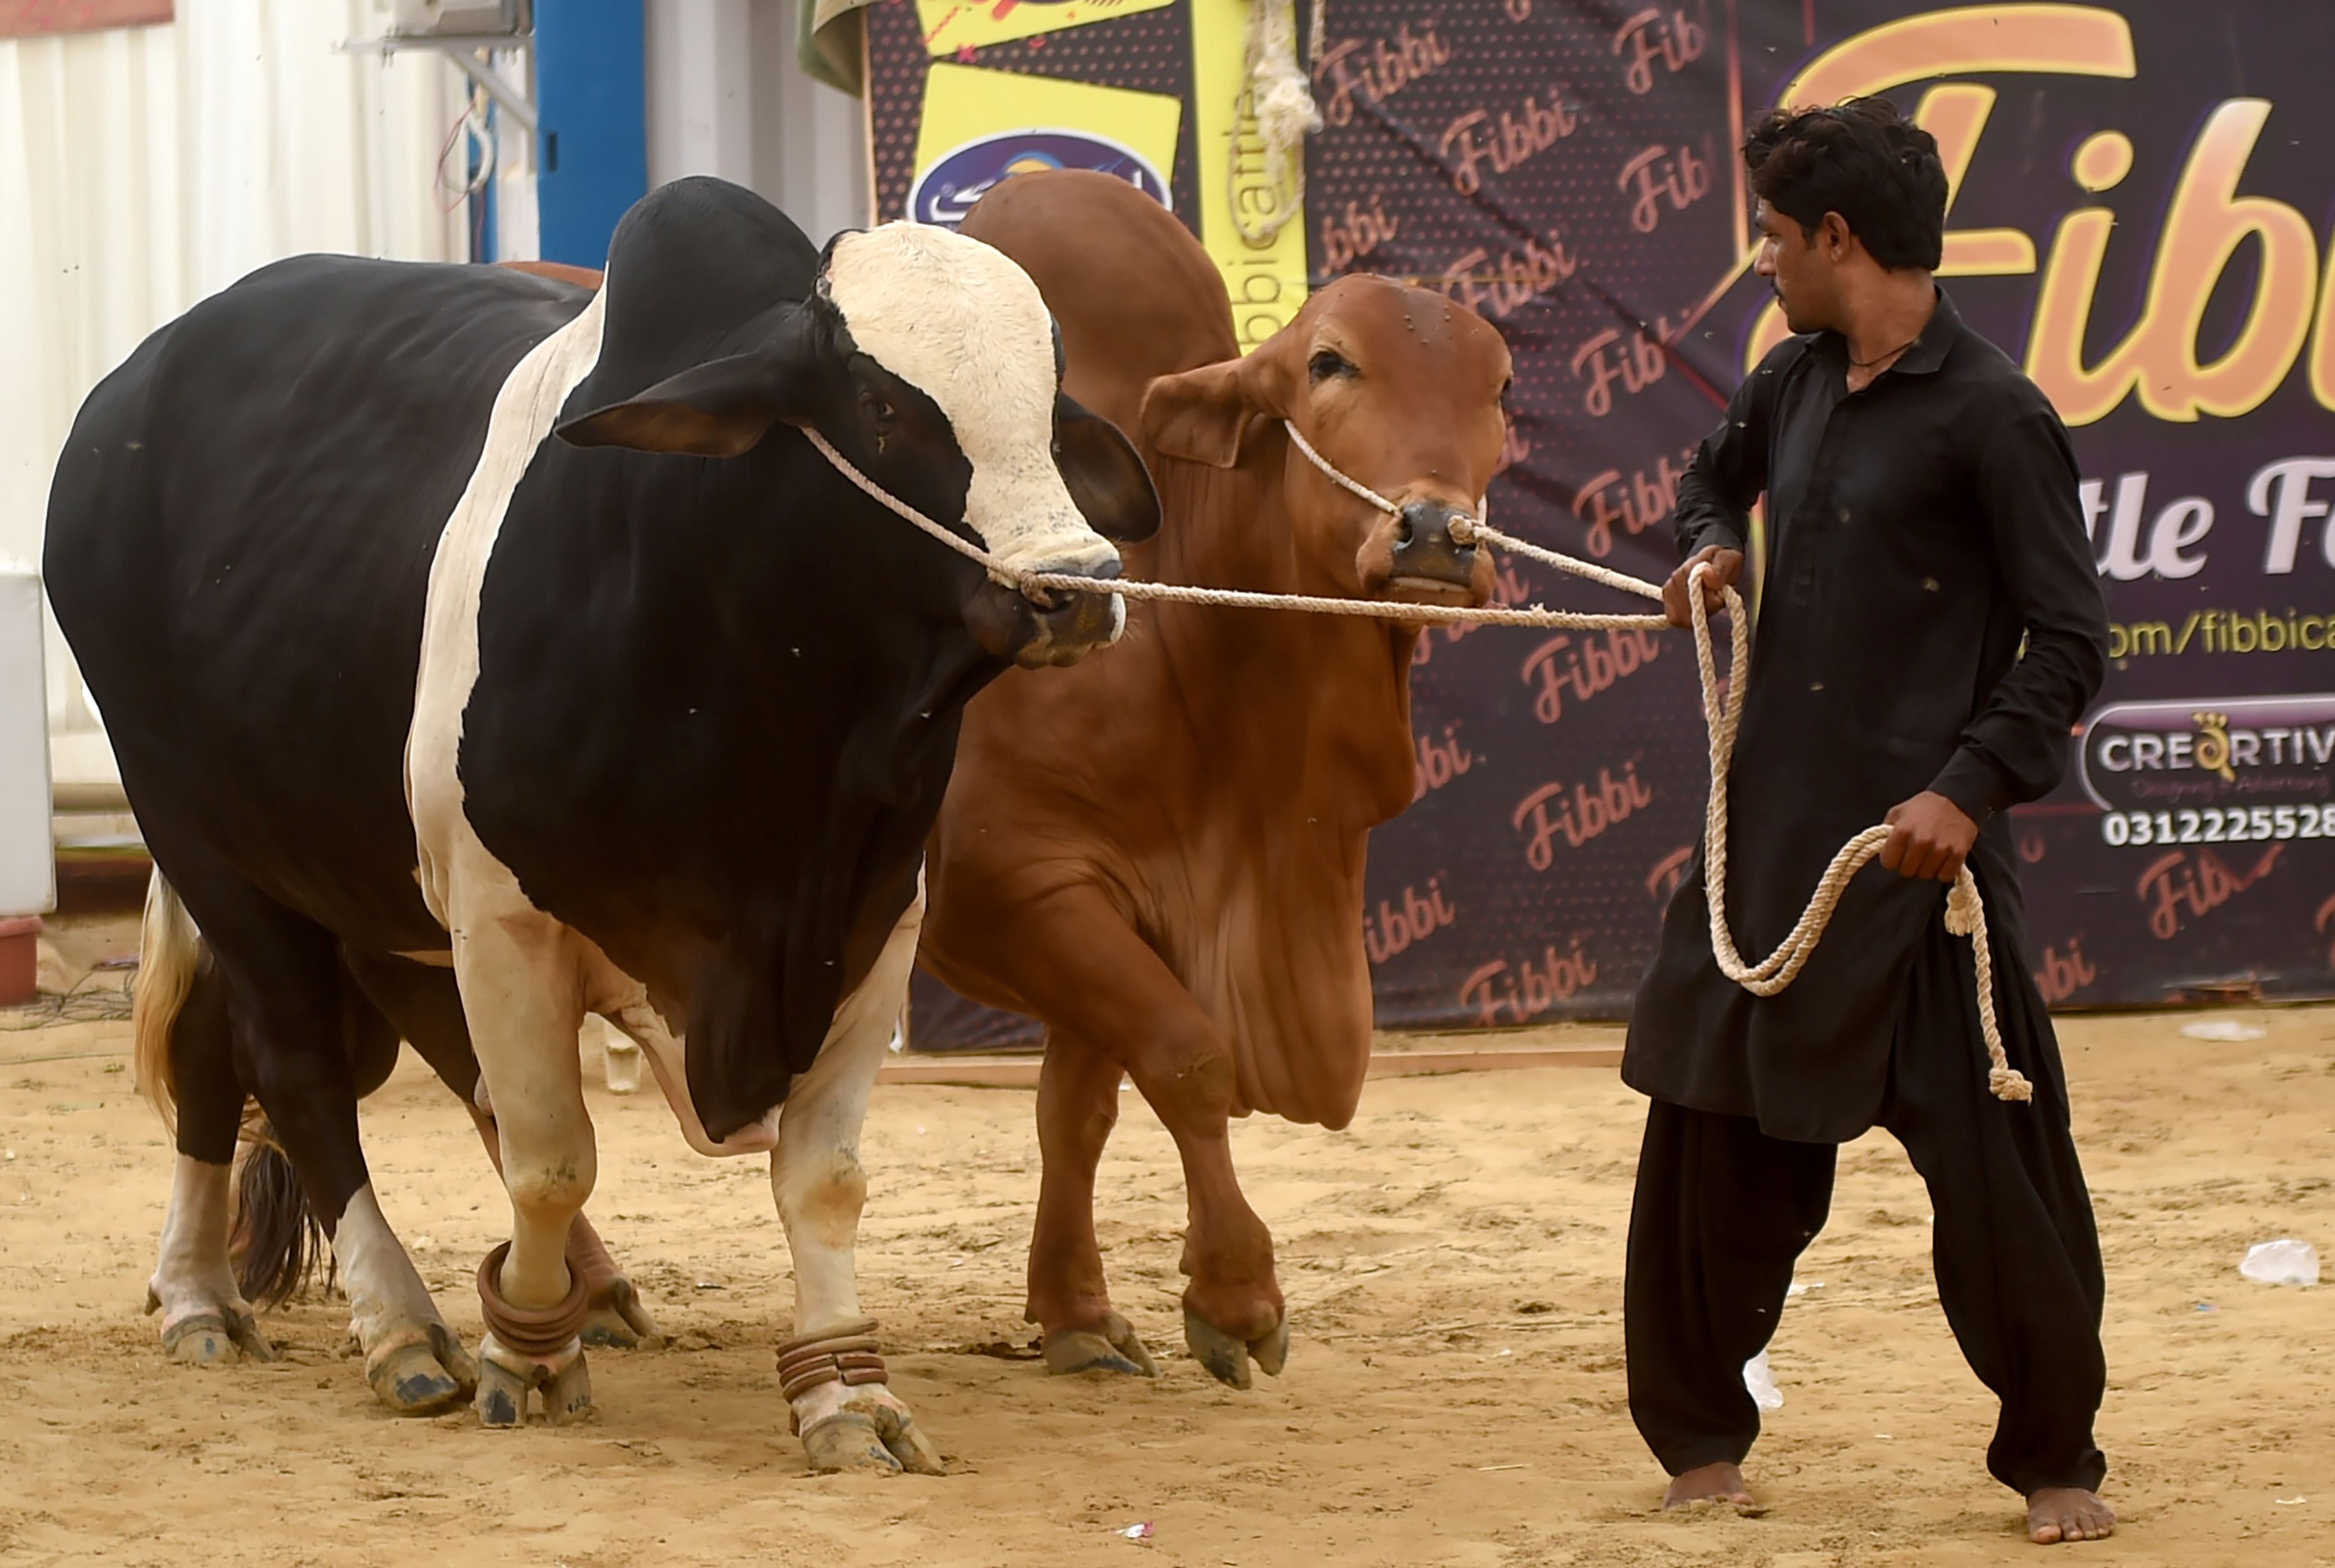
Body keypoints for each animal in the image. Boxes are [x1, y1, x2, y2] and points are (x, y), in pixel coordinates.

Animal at [41, 175, 1153, 1474]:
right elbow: (551, 1158)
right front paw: (523, 1355)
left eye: (1051, 407)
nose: (1078, 585)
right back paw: (384, 1323)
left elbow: (822, 1180)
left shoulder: (873, 921)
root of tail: (122, 402)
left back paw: (224, 1291)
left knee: (265, 1051)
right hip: (204, 839)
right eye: (882, 405)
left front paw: (849, 1399)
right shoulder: (501, 920)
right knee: (294, 1065)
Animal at [915, 171, 1513, 1381]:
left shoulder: (1122, 900)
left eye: (1500, 388)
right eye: (1329, 362)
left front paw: (1076, 1311)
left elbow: (1076, 1107)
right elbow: (1190, 1058)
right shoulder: (1000, 886)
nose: (1437, 531)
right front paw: (1236, 1293)